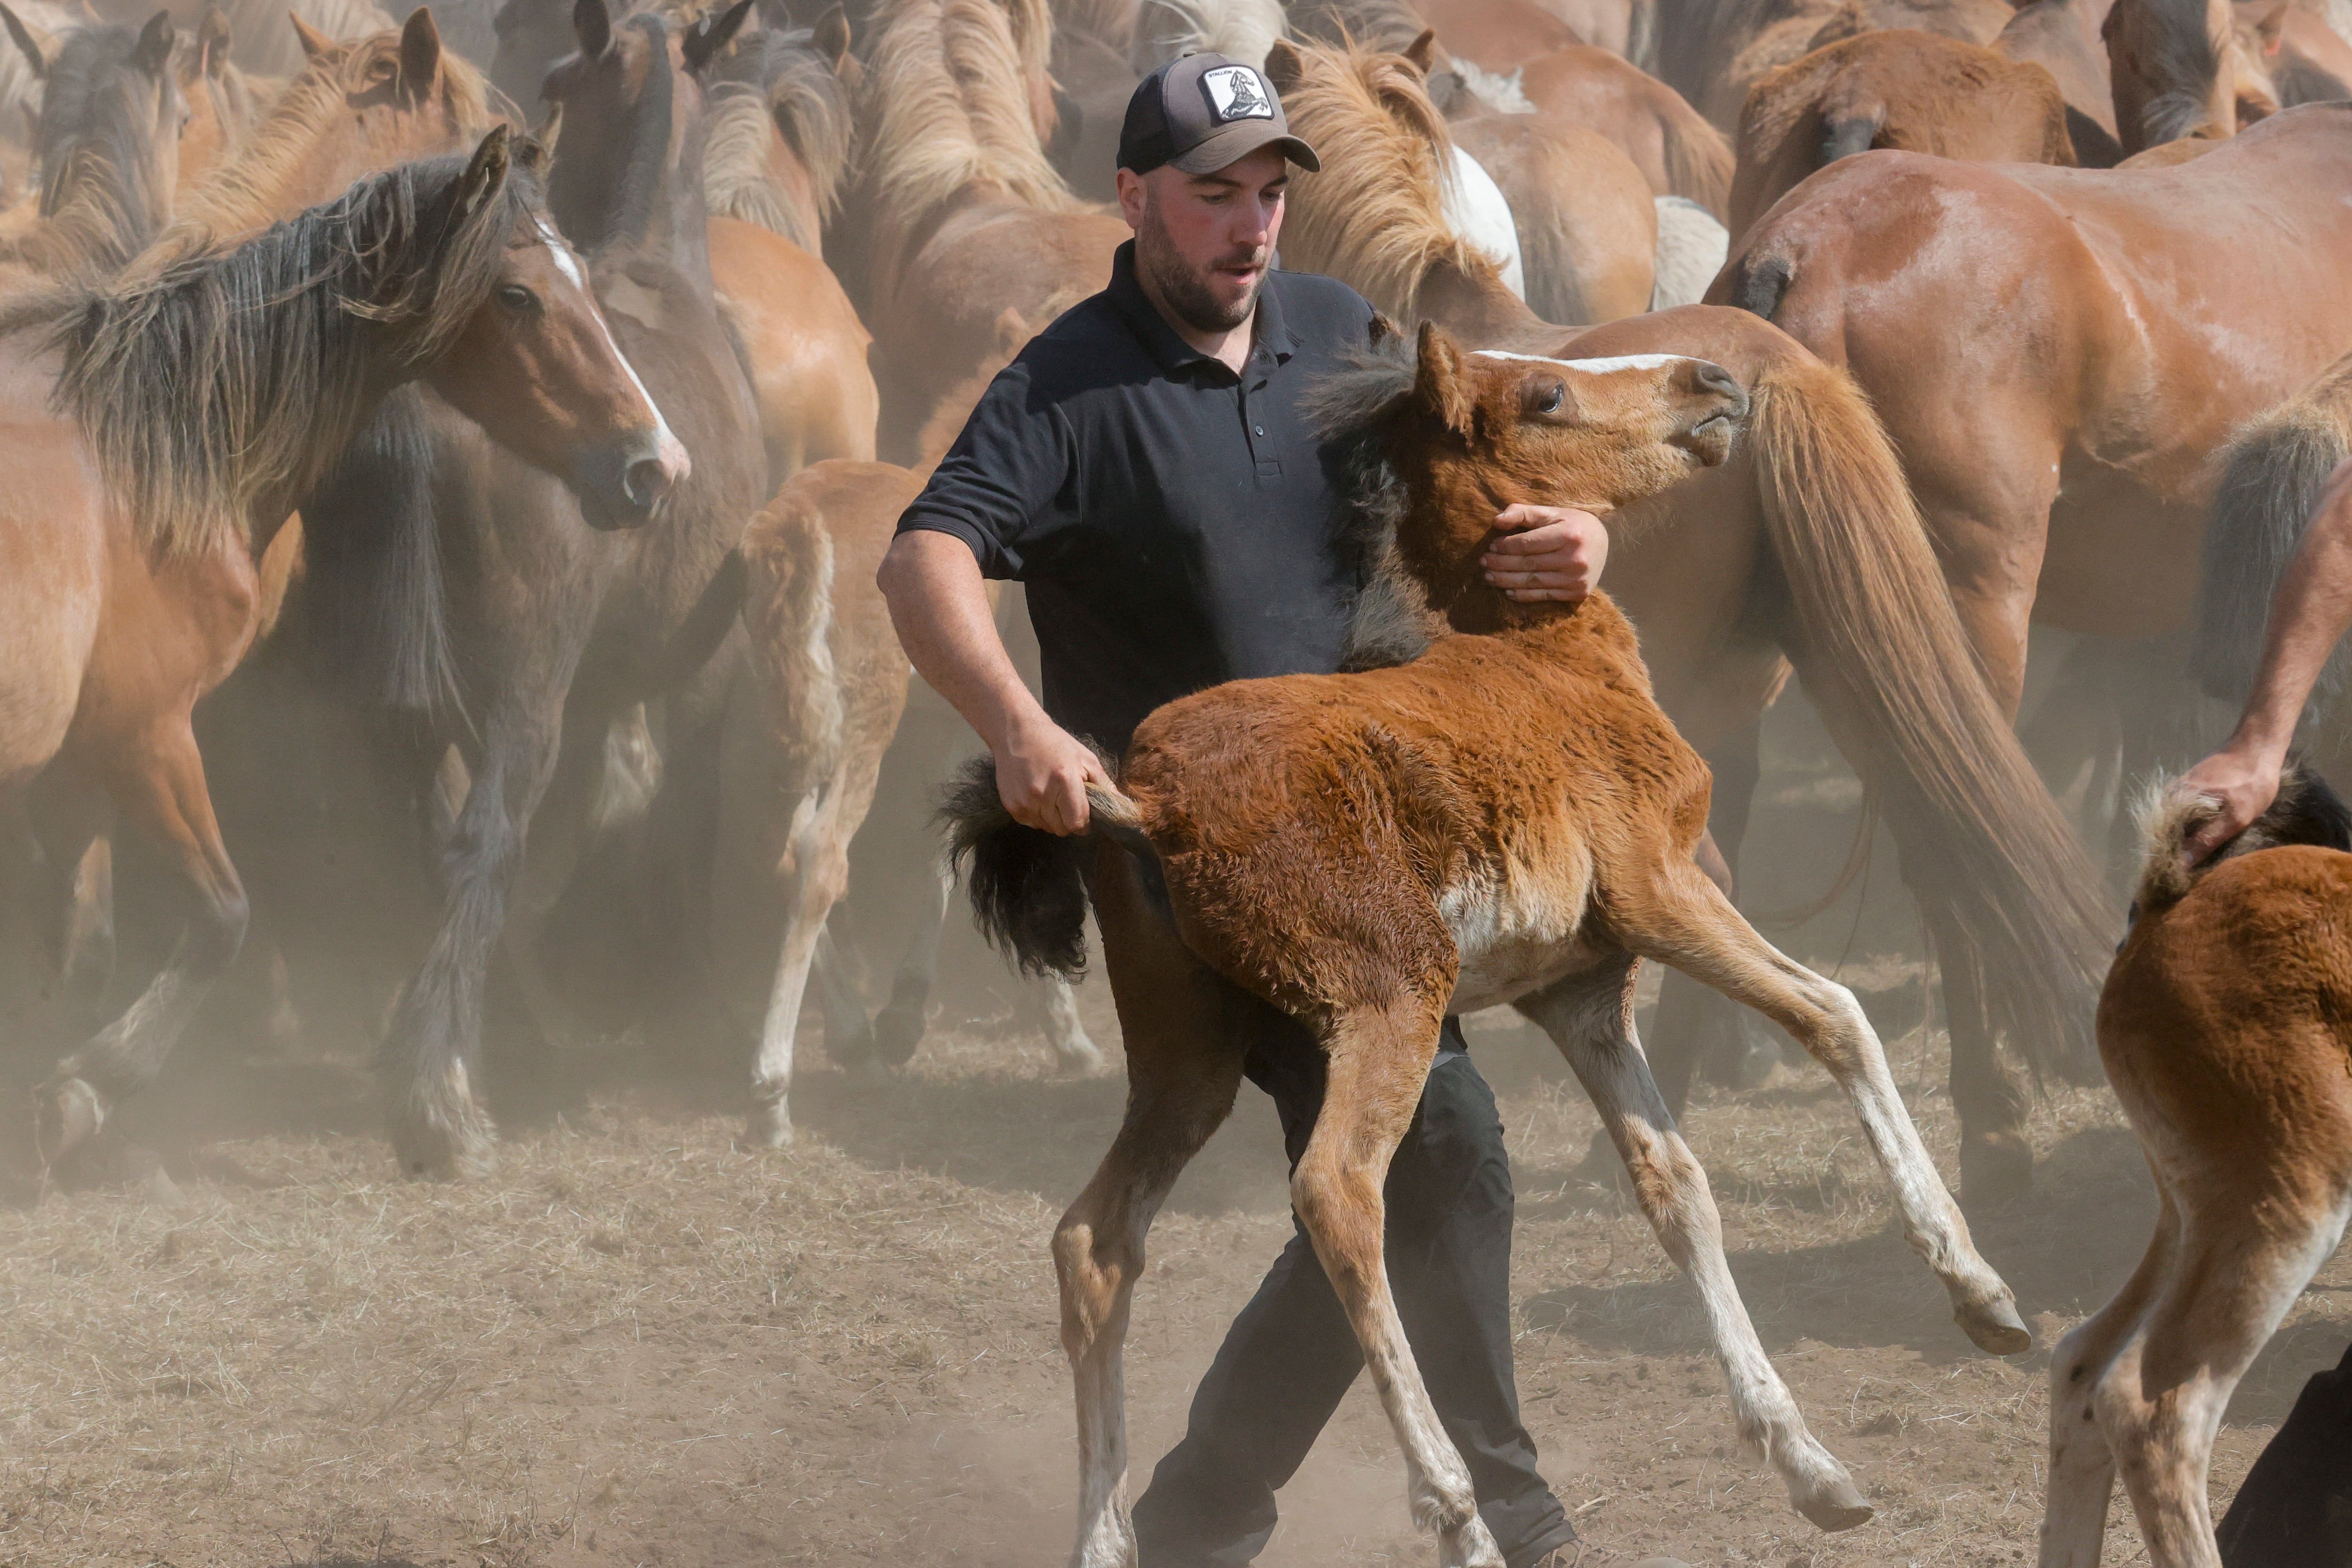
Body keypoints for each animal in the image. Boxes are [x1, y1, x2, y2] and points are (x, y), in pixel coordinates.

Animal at [9, 128, 687, 1170]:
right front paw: (84, 1090)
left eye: (578, 272)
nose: (654, 465)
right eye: (518, 295)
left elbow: (78, 948)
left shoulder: (77, 769)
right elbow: (222, 917)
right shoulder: (144, 735)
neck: (153, 453)